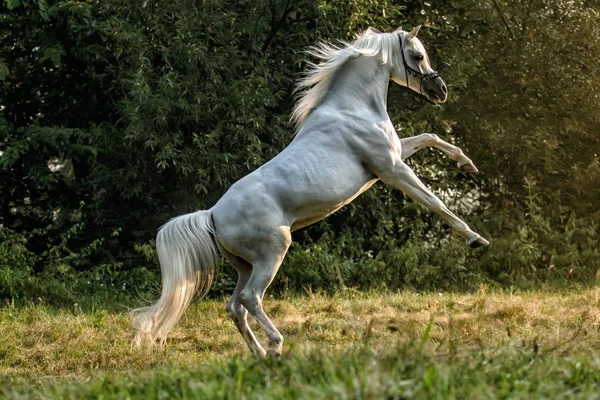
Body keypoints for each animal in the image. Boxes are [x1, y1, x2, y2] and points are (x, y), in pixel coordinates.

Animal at [131, 26, 488, 358]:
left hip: (245, 265)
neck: (353, 108)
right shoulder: (391, 170)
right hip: (272, 253)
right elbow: (435, 202)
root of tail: (212, 215)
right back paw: (275, 345)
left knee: (235, 307)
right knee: (249, 299)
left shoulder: (393, 157)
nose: (440, 90)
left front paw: (467, 164)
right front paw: (476, 239)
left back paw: (260, 355)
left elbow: (430, 137)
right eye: (417, 56)